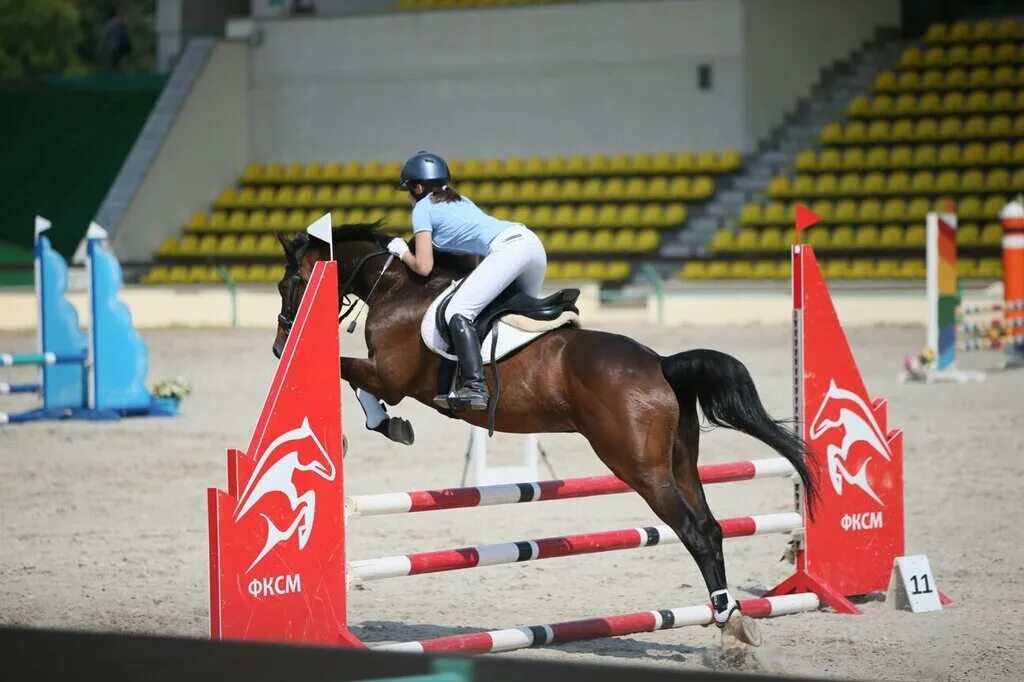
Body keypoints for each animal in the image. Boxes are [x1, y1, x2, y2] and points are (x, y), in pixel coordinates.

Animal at [272, 224, 815, 647]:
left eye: (290, 282)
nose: (280, 347)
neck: (399, 288)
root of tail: (661, 363)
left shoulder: (391, 376)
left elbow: (350, 375)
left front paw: (385, 424)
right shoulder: (390, 376)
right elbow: (352, 378)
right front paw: (387, 424)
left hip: (641, 469)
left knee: (695, 532)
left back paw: (727, 619)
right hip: (680, 464)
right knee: (714, 527)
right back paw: (734, 618)